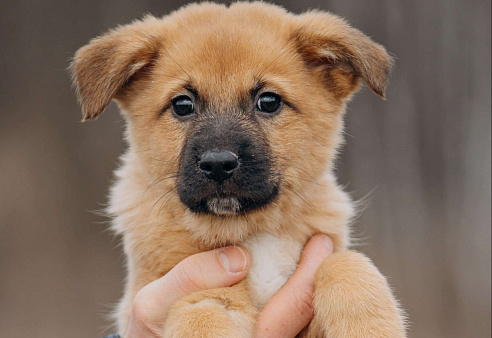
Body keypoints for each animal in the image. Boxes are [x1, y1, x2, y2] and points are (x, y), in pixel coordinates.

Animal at [70, 1, 408, 336]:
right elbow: (207, 306)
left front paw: (368, 325)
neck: (251, 232)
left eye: (268, 101)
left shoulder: (324, 252)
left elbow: (346, 265)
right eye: (182, 105)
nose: (218, 164)